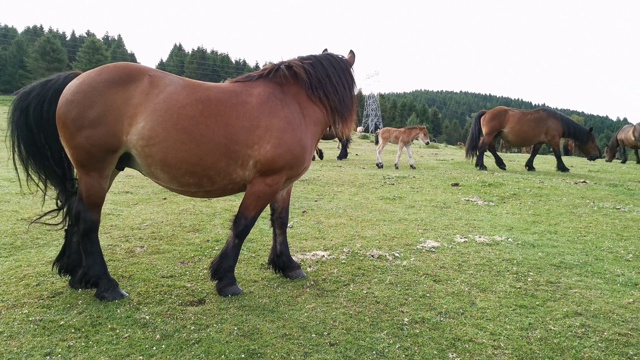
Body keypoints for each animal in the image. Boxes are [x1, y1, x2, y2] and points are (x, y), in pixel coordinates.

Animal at [7, 49, 356, 300]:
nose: (343, 142)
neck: (291, 104)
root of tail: (77, 79)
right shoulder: (264, 182)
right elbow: (243, 226)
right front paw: (226, 279)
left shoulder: (283, 183)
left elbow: (280, 222)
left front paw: (287, 266)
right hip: (96, 171)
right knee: (89, 222)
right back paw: (107, 286)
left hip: (103, 172)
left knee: (76, 215)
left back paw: (79, 276)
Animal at [464, 106, 600, 172]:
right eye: (593, 141)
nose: (597, 155)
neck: (556, 121)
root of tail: (487, 112)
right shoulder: (554, 140)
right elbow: (558, 154)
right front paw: (563, 168)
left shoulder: (539, 142)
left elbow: (534, 153)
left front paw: (530, 166)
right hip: (490, 135)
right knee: (483, 148)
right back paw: (482, 166)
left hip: (495, 136)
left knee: (491, 148)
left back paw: (500, 164)